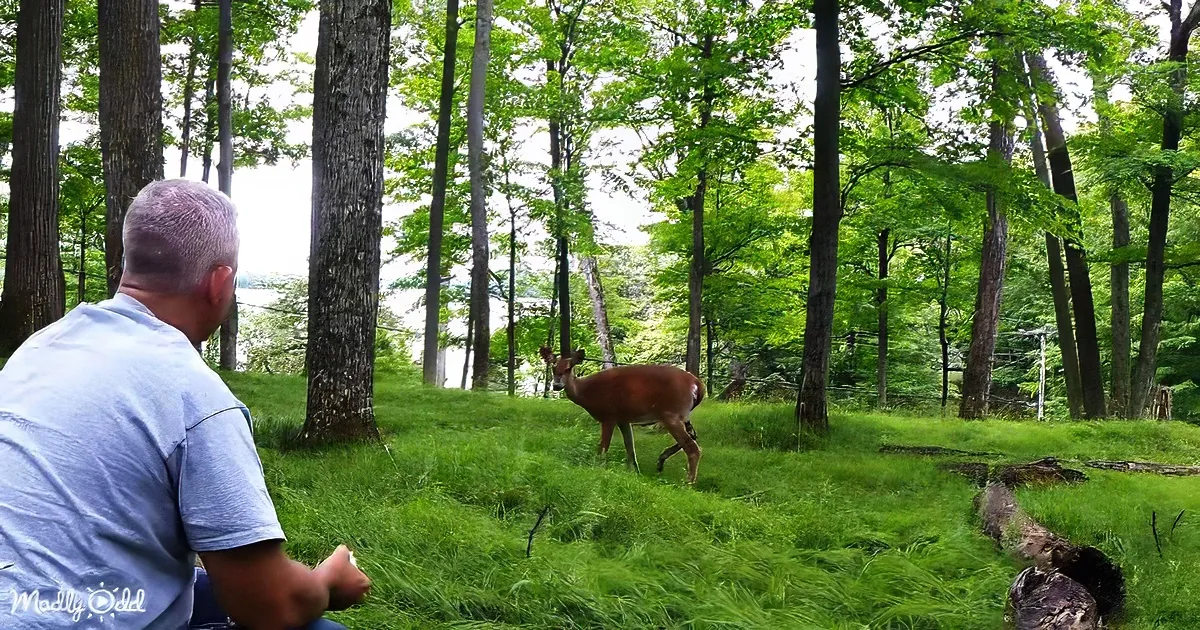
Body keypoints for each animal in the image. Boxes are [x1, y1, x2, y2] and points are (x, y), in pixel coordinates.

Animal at [540, 346, 706, 485]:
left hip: (671, 413)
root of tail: (698, 384)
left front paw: (598, 469)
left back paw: (688, 482)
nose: (556, 385)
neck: (585, 393)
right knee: (693, 436)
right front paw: (635, 473)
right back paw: (661, 461)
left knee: (693, 447)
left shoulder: (609, 415)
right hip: (681, 414)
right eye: (553, 367)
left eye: (569, 368)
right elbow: (630, 448)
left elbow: (603, 448)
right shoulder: (623, 419)